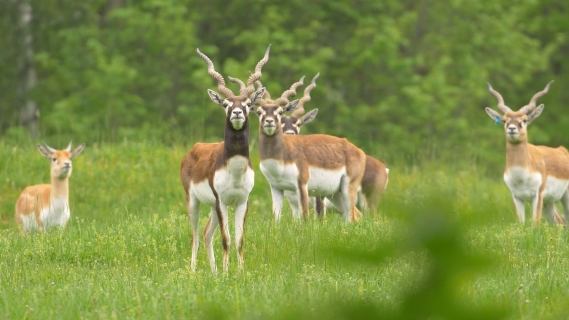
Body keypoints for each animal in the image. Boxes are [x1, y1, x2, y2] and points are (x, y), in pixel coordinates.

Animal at [181, 46, 270, 274]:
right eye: (227, 104)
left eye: (247, 103)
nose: (237, 113)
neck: (235, 172)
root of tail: (195, 148)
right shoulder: (222, 201)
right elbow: (226, 239)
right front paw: (226, 273)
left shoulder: (241, 202)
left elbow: (239, 240)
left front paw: (239, 272)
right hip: (193, 201)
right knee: (195, 236)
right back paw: (194, 271)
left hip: (212, 207)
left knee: (206, 234)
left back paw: (213, 273)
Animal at [484, 81, 568, 224]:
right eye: (504, 120)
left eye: (524, 120)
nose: (512, 129)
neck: (521, 174)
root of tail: (563, 150)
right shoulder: (516, 197)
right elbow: (521, 224)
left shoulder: (538, 196)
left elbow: (535, 224)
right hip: (549, 204)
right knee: (559, 223)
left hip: (564, 198)